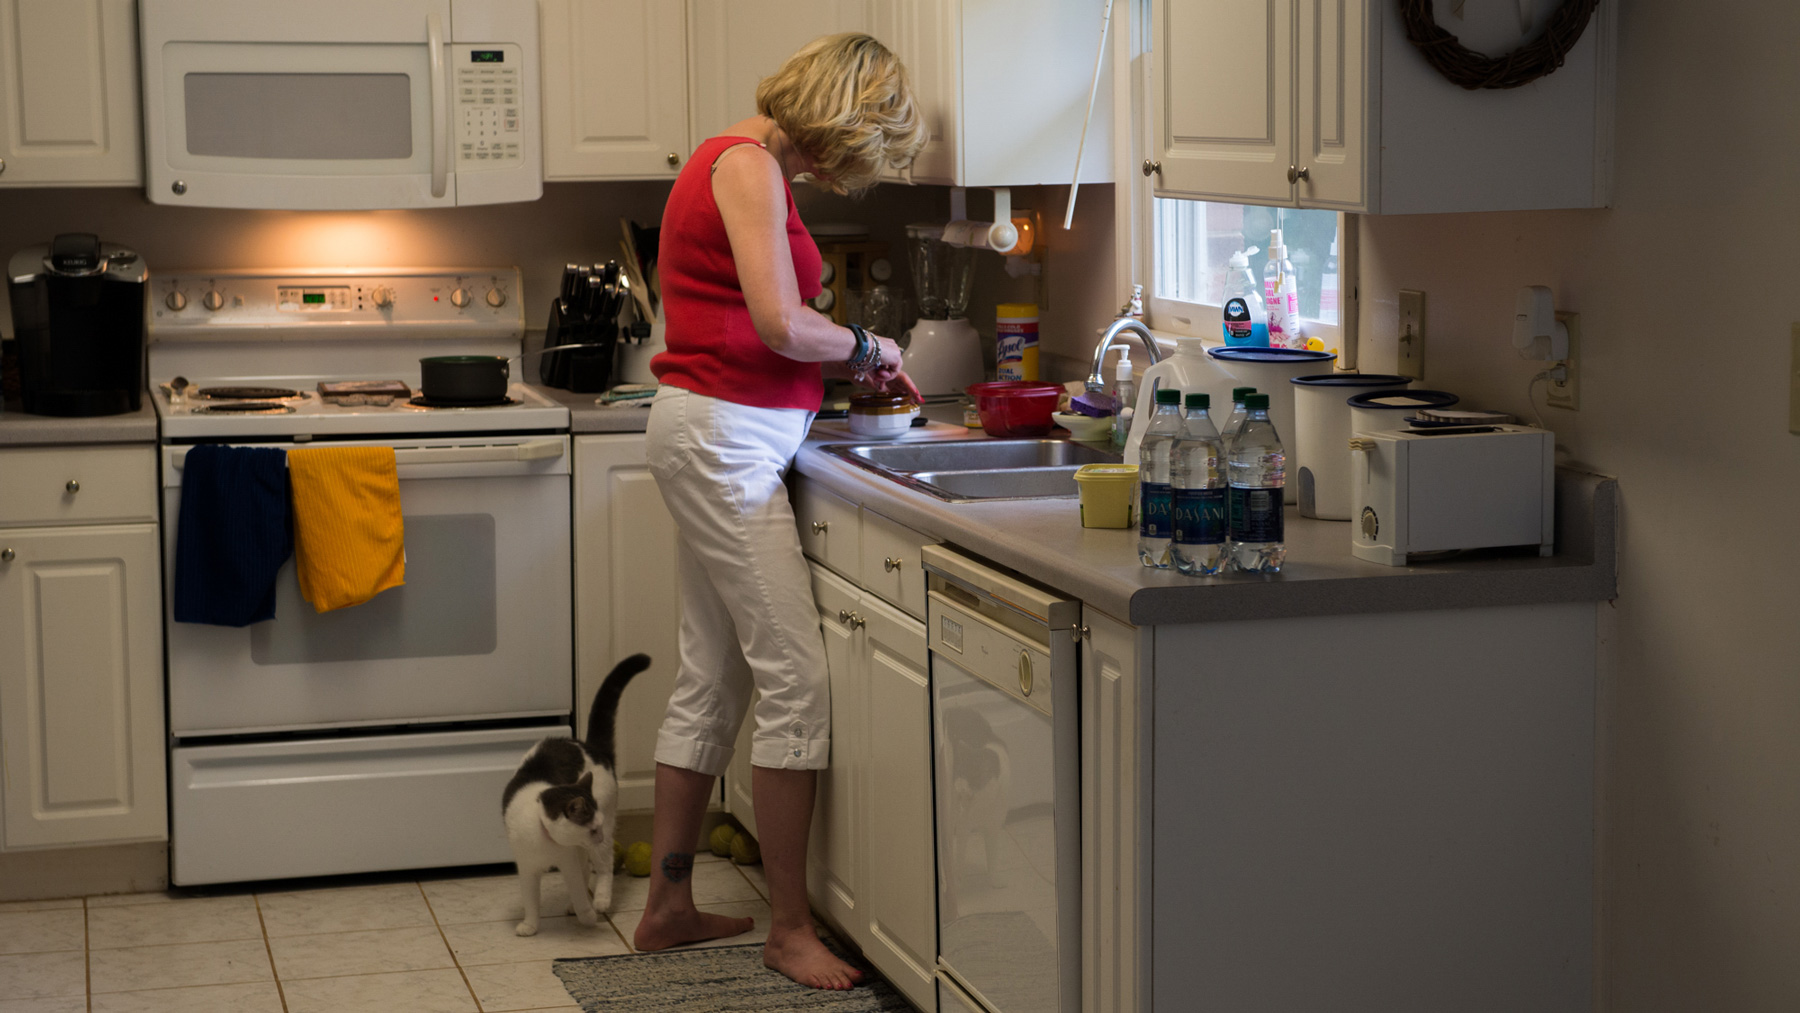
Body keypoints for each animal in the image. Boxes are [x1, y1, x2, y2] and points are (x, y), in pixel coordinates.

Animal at [504, 654, 651, 942]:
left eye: (595, 827)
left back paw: (601, 902)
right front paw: (530, 925)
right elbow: (531, 900)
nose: (600, 835)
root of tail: (591, 746)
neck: (542, 833)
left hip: (601, 835)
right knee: (588, 869)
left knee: (604, 868)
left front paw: (588, 915)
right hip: (585, 847)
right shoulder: (527, 867)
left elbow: (580, 890)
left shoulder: (568, 861)